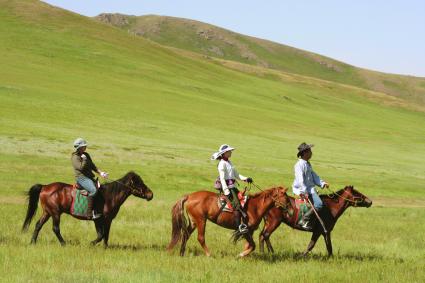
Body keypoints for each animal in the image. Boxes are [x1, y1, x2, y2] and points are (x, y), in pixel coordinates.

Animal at [21, 172, 153, 247]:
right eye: (139, 183)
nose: (150, 194)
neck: (109, 196)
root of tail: (45, 187)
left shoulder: (108, 220)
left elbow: (106, 234)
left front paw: (105, 247)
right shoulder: (98, 219)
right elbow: (101, 234)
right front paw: (91, 243)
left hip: (47, 212)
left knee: (38, 224)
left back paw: (32, 242)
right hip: (55, 213)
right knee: (55, 228)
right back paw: (63, 244)